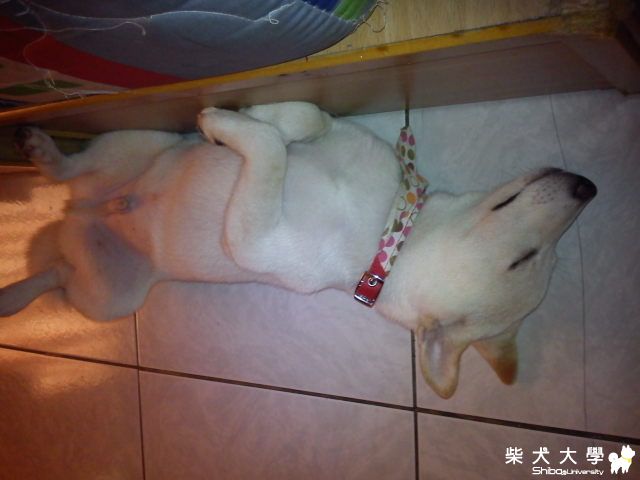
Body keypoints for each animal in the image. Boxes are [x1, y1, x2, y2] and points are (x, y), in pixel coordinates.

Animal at [0, 102, 597, 398]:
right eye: (532, 259)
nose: (587, 188)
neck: (385, 227)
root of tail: (81, 212)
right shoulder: (332, 131)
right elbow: (305, 117)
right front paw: (239, 120)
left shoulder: (256, 240)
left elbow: (268, 150)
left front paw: (231, 125)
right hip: (137, 143)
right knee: (74, 172)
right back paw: (43, 150)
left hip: (109, 296)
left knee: (58, 272)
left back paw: (16, 288)